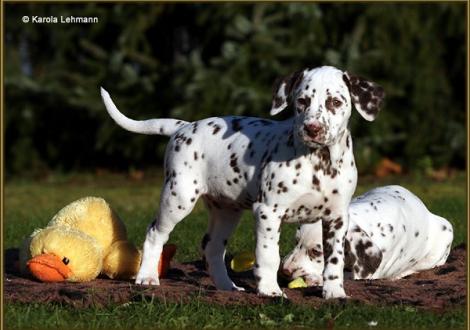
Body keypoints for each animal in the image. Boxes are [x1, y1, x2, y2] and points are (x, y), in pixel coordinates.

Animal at [101, 65, 384, 300]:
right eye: (302, 101)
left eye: (335, 102)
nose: (312, 129)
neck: (319, 163)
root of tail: (184, 127)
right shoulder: (268, 212)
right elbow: (268, 256)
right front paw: (270, 290)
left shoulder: (336, 218)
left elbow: (334, 259)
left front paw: (334, 292)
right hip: (178, 198)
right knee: (155, 234)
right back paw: (147, 277)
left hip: (226, 211)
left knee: (212, 248)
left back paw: (227, 287)